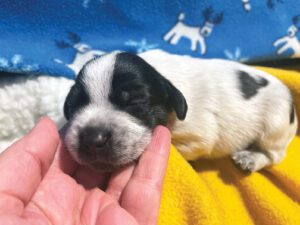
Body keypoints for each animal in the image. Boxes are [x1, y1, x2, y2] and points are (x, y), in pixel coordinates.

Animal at [61, 50, 298, 171]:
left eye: (136, 100)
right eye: (73, 106)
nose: (92, 138)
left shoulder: (198, 136)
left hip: (275, 126)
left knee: (275, 155)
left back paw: (250, 159)